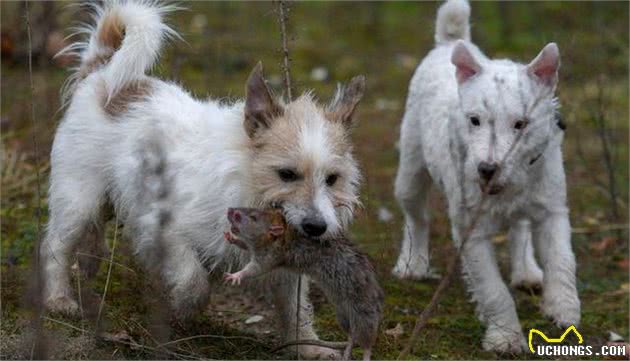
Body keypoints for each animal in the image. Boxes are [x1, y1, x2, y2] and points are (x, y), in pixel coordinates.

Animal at [40, 2, 366, 358]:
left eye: (332, 179)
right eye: (287, 174)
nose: (317, 227)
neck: (246, 184)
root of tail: (101, 72)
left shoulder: (285, 269)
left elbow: (296, 310)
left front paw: (309, 347)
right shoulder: (162, 229)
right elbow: (193, 281)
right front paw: (181, 310)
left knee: (91, 236)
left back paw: (89, 263)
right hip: (78, 200)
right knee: (56, 247)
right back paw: (59, 298)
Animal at [396, 0, 584, 352]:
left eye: (521, 124)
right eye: (474, 120)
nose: (486, 169)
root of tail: (447, 45)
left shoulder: (552, 211)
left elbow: (562, 259)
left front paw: (563, 308)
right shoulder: (472, 233)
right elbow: (493, 289)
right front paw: (506, 337)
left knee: (520, 226)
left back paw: (527, 271)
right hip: (410, 173)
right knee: (416, 217)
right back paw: (412, 263)